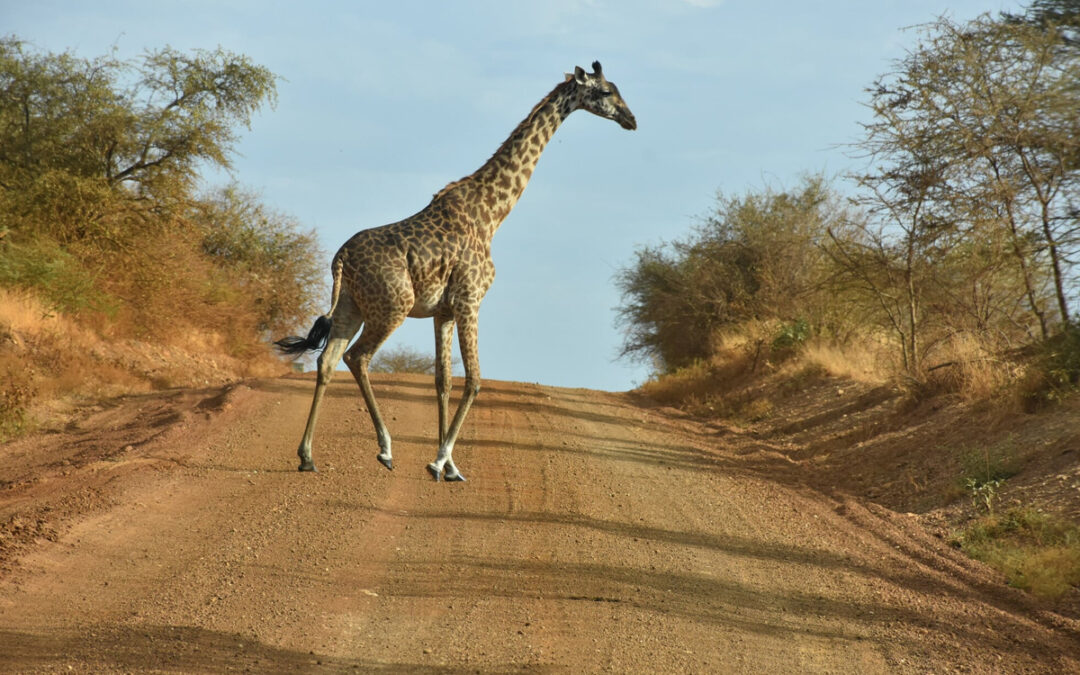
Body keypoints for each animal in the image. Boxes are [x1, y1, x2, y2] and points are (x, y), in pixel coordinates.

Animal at [274, 61, 635, 479]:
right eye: (607, 91)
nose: (631, 119)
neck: (492, 212)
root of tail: (340, 259)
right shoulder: (469, 299)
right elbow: (475, 379)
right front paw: (440, 459)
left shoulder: (443, 311)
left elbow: (442, 380)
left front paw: (450, 467)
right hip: (392, 306)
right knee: (357, 358)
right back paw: (385, 450)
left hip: (351, 306)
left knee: (327, 360)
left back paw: (307, 456)